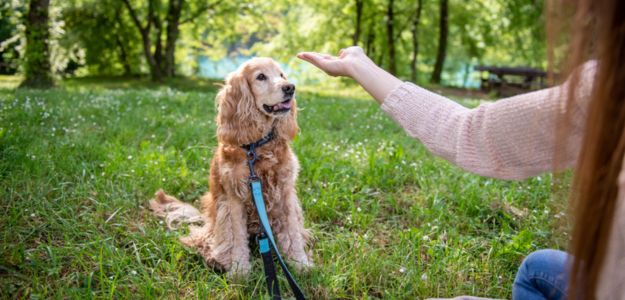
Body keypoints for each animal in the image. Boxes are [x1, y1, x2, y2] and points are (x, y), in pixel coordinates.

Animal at [147, 57, 312, 278]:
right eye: (261, 76)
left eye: (281, 75)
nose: (290, 87)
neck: (257, 147)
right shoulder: (233, 197)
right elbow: (236, 238)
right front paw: (239, 271)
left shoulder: (285, 194)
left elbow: (292, 232)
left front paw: (300, 264)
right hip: (217, 219)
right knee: (204, 240)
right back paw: (215, 259)